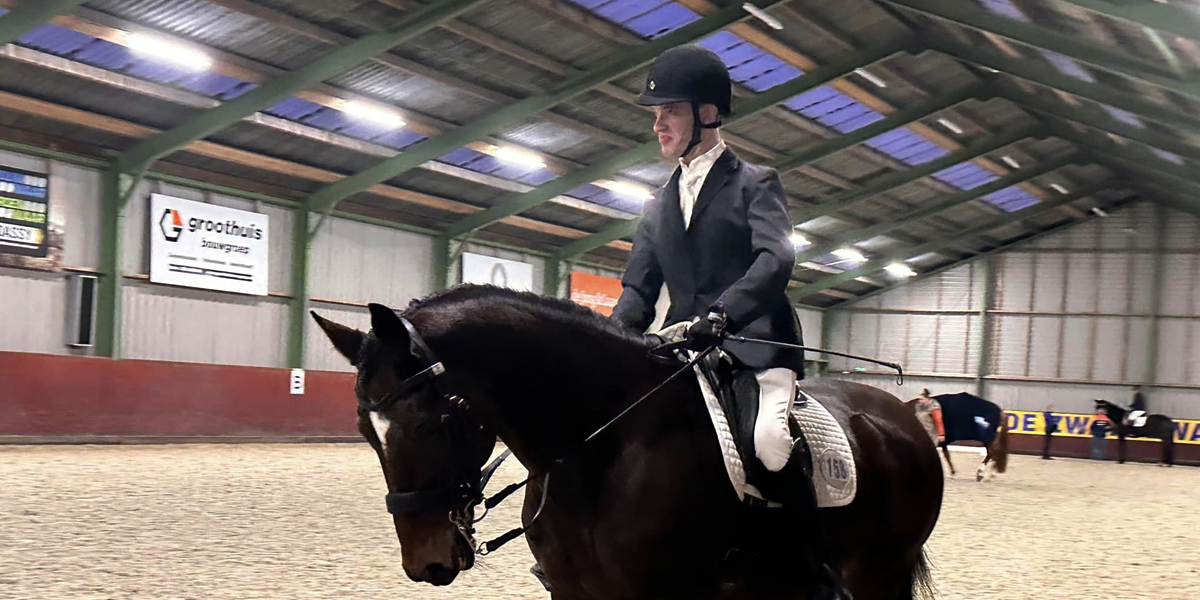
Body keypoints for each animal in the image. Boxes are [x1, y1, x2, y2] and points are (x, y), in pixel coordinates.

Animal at [312, 286, 945, 600]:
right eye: (368, 434)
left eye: (428, 424)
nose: (427, 565)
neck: (596, 450)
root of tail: (902, 416)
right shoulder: (574, 593)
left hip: (875, 572)